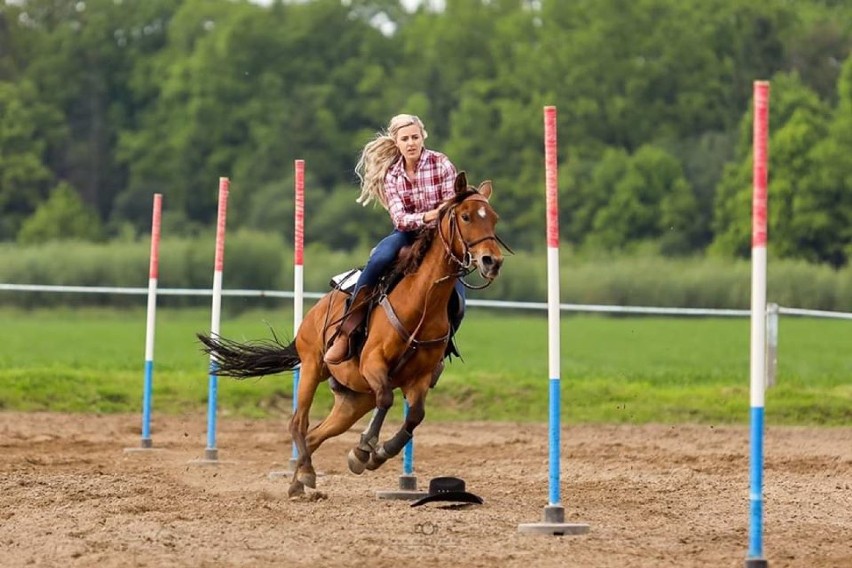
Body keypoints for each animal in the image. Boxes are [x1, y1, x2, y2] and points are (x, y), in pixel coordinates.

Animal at [198, 172, 506, 496]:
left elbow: (414, 415)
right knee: (298, 423)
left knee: (315, 434)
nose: (492, 261)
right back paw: (304, 474)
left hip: (354, 400)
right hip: (312, 367)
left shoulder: (418, 379)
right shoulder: (373, 363)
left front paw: (379, 452)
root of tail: (314, 313)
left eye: (494, 218)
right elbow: (387, 398)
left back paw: (300, 480)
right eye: (466, 216)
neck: (421, 300)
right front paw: (363, 450)